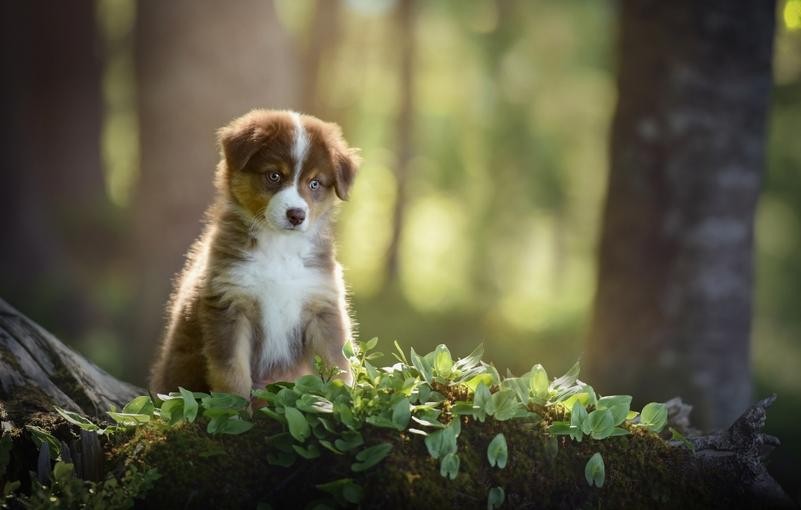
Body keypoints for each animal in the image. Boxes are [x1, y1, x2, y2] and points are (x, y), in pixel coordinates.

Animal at [149, 110, 360, 398]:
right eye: (273, 176)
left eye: (314, 183)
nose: (296, 215)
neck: (279, 248)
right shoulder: (229, 304)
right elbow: (232, 372)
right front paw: (233, 407)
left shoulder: (321, 304)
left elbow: (337, 365)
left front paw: (344, 399)